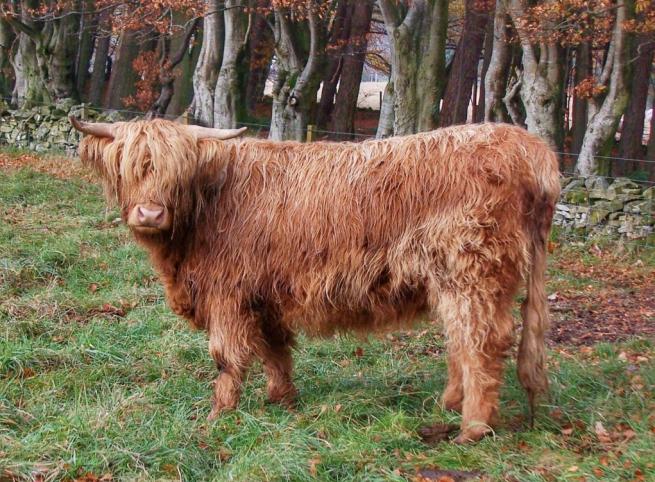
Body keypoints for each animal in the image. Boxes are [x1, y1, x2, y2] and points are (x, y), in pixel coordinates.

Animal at [70, 116, 560, 443]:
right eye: (128, 166)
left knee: (481, 343)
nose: (150, 213)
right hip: (453, 282)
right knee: (461, 339)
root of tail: (530, 147)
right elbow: (274, 349)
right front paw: (282, 400)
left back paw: (471, 428)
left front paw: (218, 416)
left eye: (175, 173)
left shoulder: (227, 293)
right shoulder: (263, 292)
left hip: (472, 274)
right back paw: (448, 405)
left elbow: (227, 357)